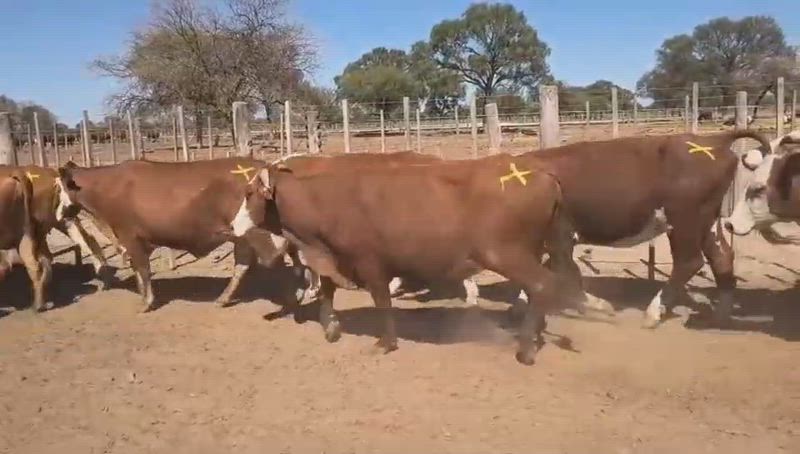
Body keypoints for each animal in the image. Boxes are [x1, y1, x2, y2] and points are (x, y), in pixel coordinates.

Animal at [54, 158, 289, 312]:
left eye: (59, 188)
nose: (58, 214)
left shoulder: (130, 236)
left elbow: (143, 269)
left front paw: (146, 302)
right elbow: (138, 270)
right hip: (242, 237)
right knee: (242, 266)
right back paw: (222, 299)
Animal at [240, 154, 600, 365]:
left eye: (248, 194)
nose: (233, 224)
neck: (327, 200)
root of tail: (543, 174)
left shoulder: (370, 262)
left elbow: (382, 301)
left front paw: (385, 343)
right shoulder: (334, 257)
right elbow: (328, 288)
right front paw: (331, 327)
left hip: (507, 254)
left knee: (541, 285)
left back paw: (525, 350)